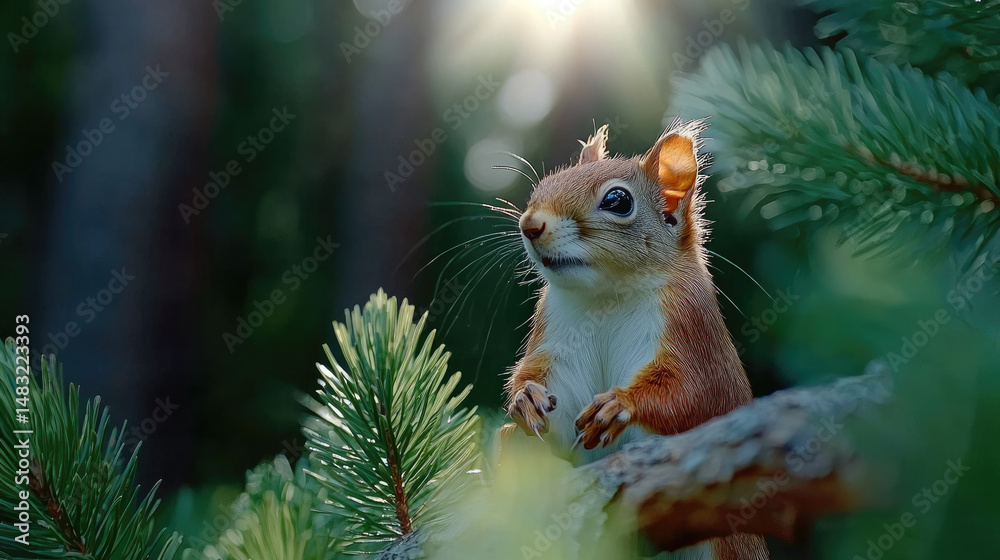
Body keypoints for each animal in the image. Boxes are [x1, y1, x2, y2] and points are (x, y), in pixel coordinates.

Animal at [503, 119, 768, 559]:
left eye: (617, 200)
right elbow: (556, 402)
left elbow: (694, 394)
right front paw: (526, 398)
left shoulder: (689, 327)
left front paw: (619, 404)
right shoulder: (558, 336)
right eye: (545, 183)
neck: (607, 294)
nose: (530, 224)